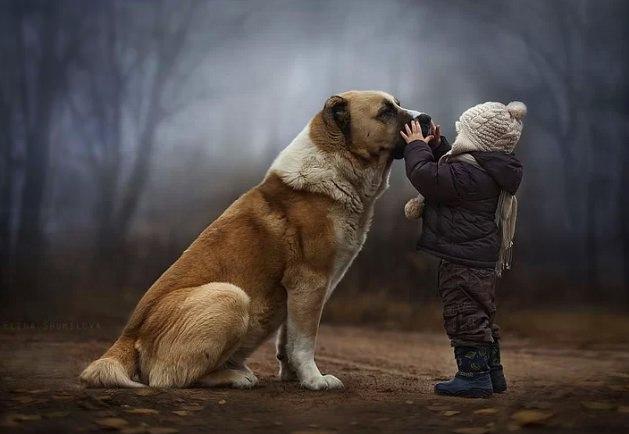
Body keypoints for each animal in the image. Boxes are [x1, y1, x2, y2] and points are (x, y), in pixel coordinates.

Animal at [81, 90, 420, 392]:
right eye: (385, 112)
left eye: (397, 105)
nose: (426, 119)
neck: (337, 166)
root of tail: (128, 336)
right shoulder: (309, 282)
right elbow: (304, 341)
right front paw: (314, 380)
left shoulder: (299, 292)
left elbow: (288, 339)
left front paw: (294, 376)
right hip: (229, 296)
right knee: (170, 378)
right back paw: (236, 377)